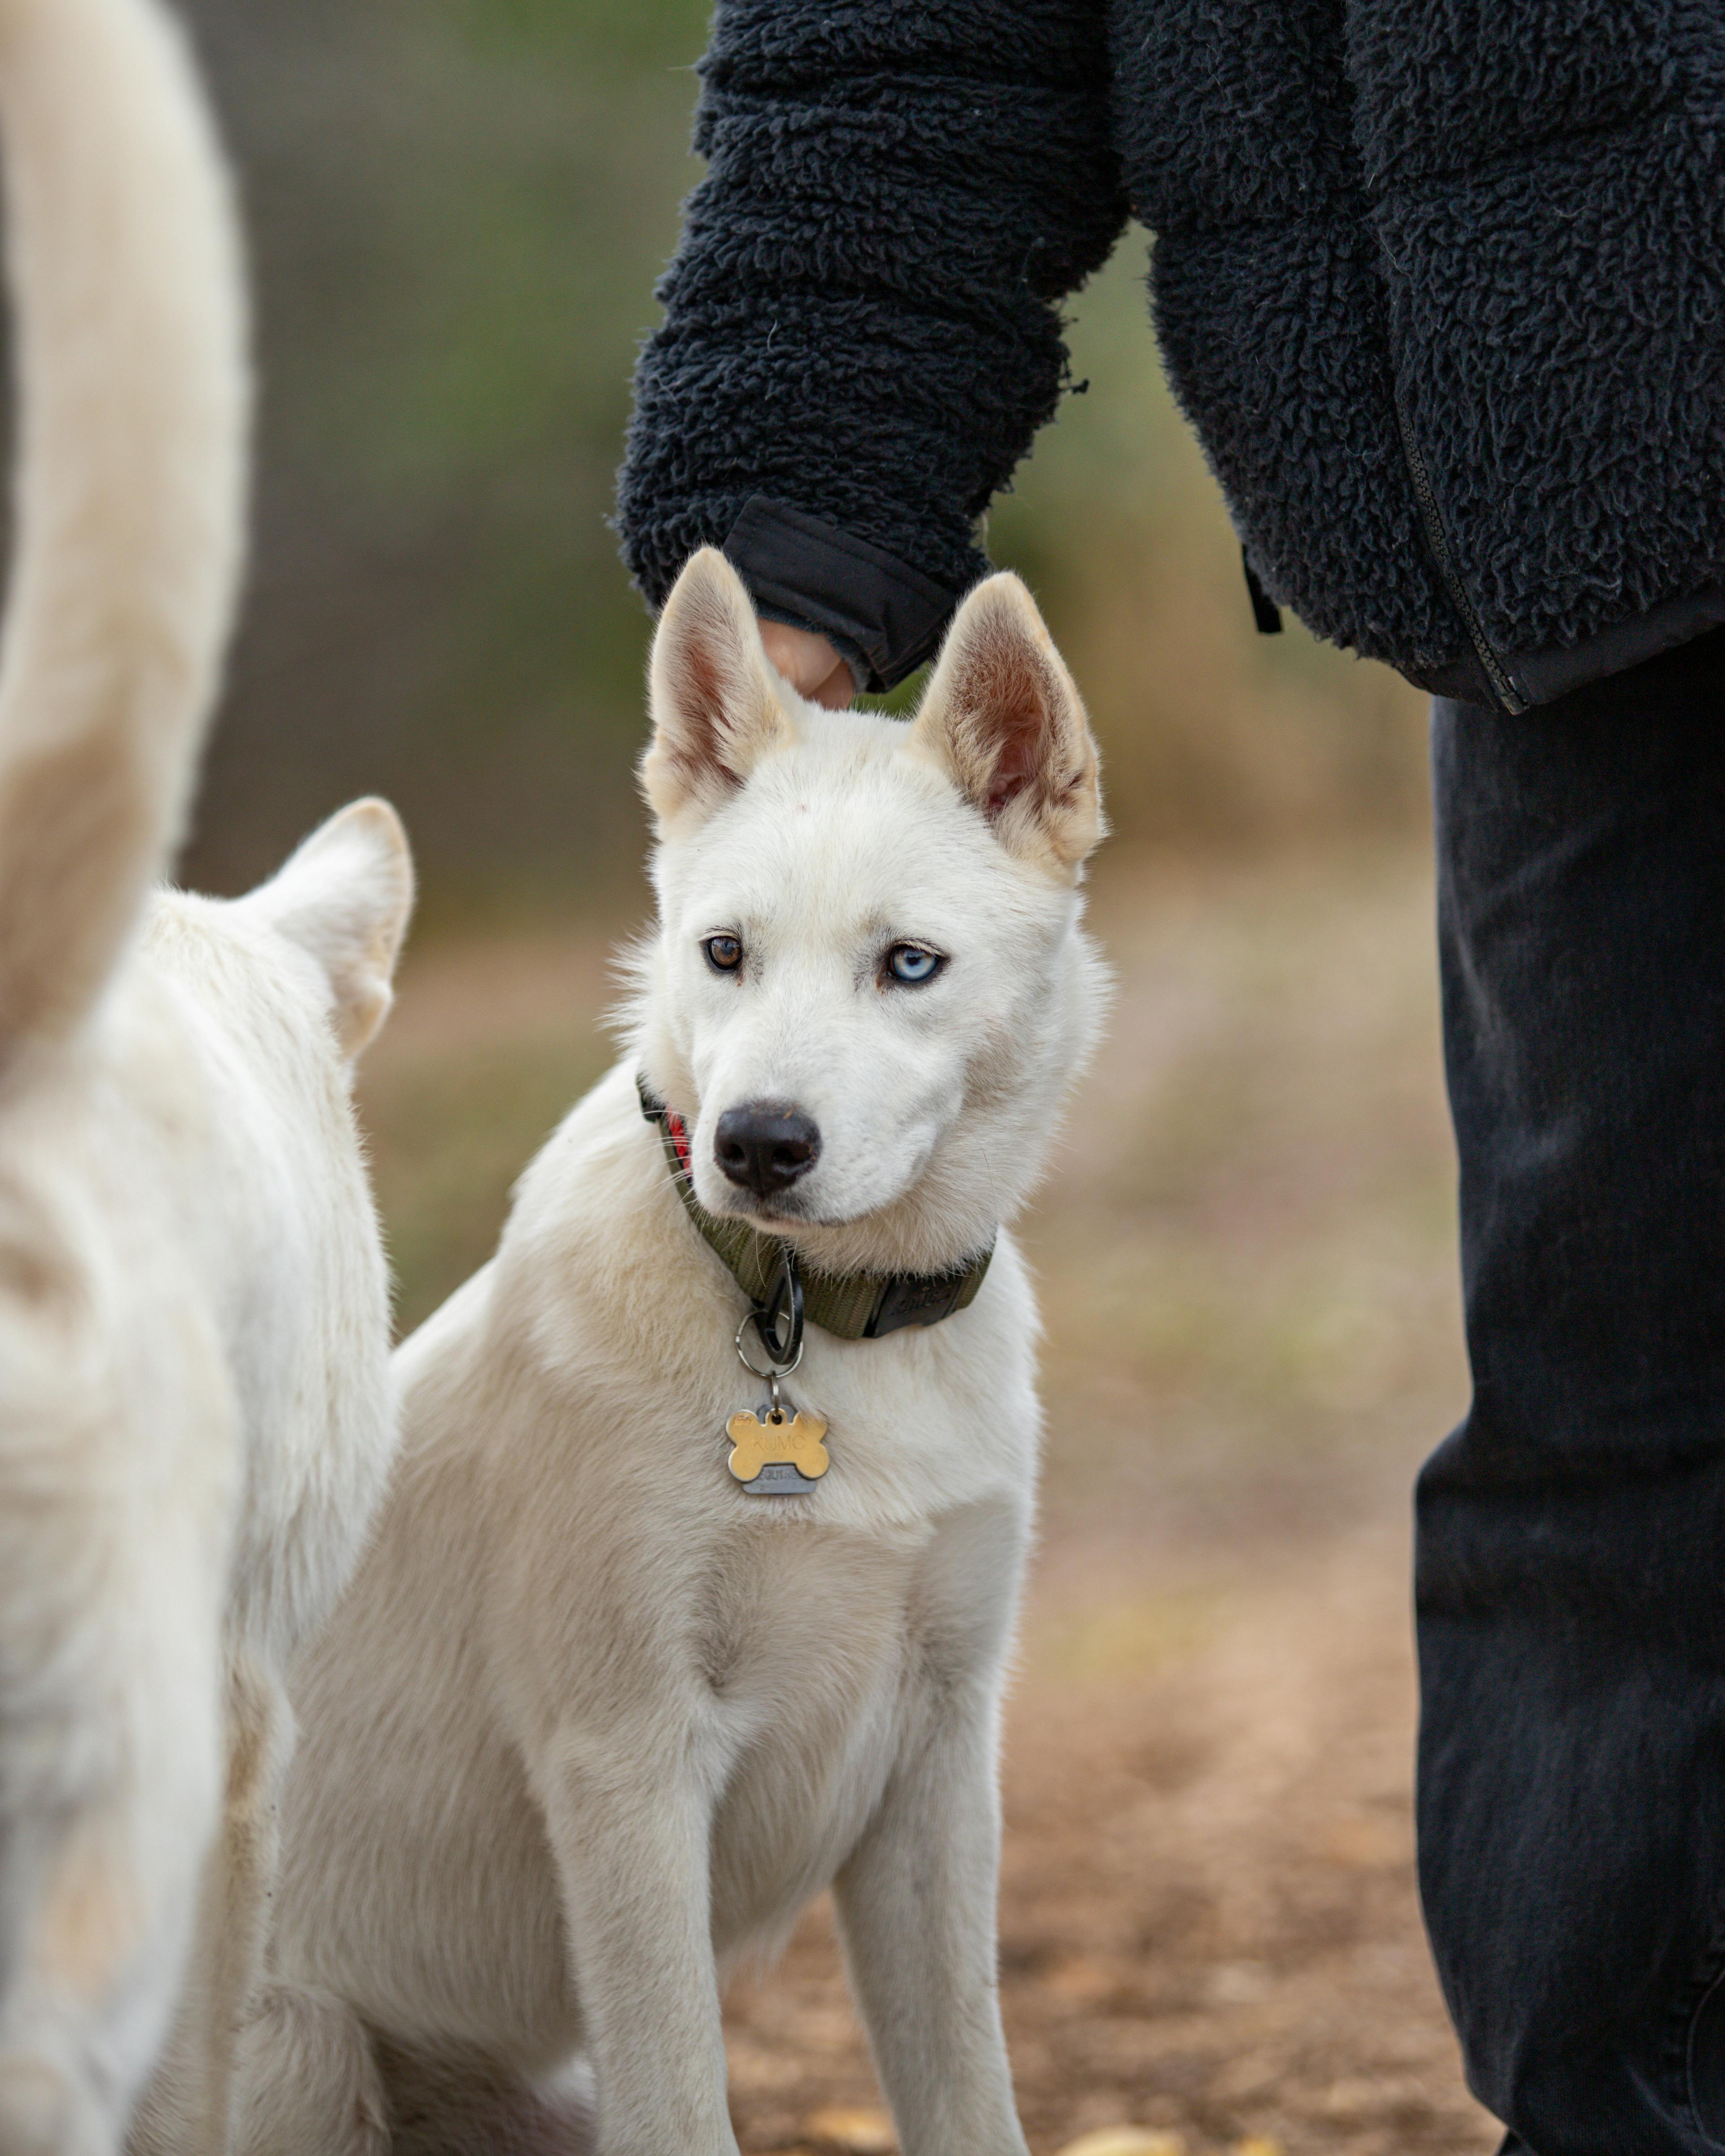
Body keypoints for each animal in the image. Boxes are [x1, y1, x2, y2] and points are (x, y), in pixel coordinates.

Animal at [236, 552, 1104, 2156]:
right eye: (725, 954)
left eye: (909, 964)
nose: (758, 1144)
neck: (815, 1321)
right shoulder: (626, 1756)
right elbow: (684, 2096)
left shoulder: (940, 1763)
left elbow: (965, 2086)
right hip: (300, 2051)